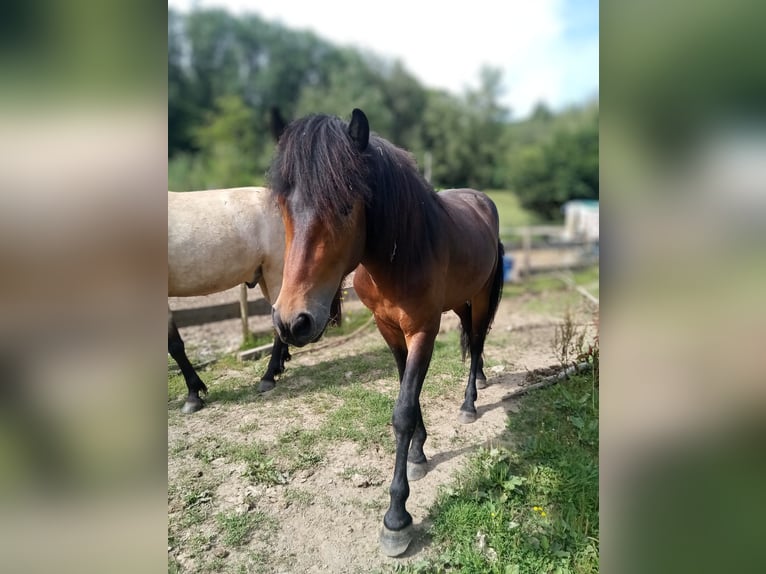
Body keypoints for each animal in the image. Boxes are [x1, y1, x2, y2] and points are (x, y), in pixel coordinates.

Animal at [268, 109, 504, 560]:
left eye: (346, 206)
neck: (401, 251)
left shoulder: (424, 330)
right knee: (472, 340)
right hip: (461, 300)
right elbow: (405, 392)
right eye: (283, 205)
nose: (292, 321)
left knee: (479, 339)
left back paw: (470, 401)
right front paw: (419, 451)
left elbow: (403, 410)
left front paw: (396, 517)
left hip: (482, 296)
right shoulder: (388, 328)